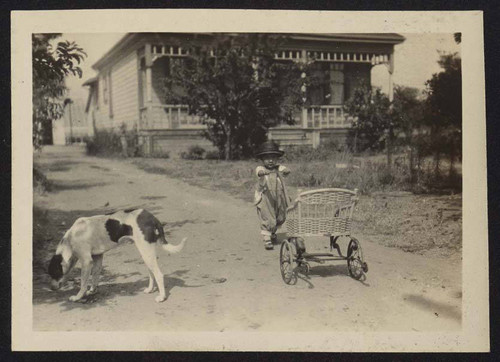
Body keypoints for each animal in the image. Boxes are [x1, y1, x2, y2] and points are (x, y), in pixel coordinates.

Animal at [47, 208, 188, 304]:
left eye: (54, 272)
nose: (51, 288)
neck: (70, 239)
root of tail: (152, 217)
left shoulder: (87, 262)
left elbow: (83, 283)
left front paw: (77, 297)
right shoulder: (97, 258)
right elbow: (95, 277)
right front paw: (93, 290)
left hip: (146, 252)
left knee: (159, 274)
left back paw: (162, 297)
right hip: (146, 253)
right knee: (151, 272)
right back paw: (149, 289)